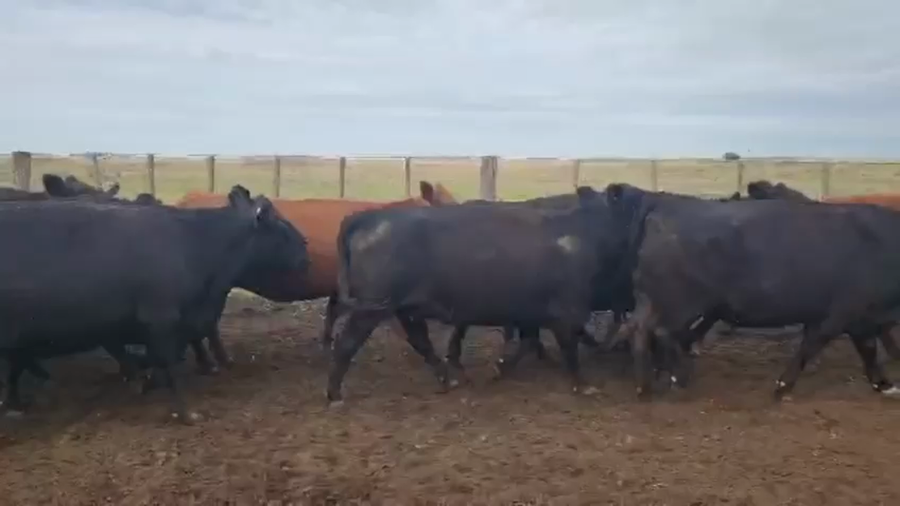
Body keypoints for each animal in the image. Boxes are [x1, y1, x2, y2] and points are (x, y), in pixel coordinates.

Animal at [326, 186, 630, 403]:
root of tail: (368, 216)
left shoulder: (531, 313)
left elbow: (528, 342)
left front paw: (500, 369)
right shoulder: (566, 311)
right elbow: (568, 349)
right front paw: (584, 385)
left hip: (402, 308)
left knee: (420, 341)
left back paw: (448, 379)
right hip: (371, 308)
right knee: (345, 345)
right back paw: (334, 394)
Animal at [606, 182, 900, 400]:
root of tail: (665, 208)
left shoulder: (860, 319)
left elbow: (868, 350)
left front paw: (883, 383)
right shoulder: (842, 314)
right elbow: (813, 346)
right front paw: (783, 386)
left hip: (654, 300)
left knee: (640, 330)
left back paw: (645, 385)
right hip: (679, 303)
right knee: (660, 332)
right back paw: (677, 377)